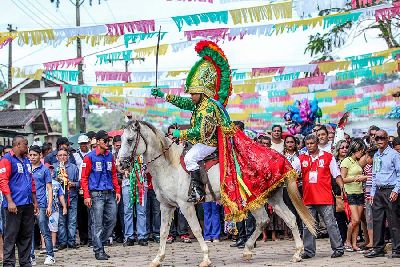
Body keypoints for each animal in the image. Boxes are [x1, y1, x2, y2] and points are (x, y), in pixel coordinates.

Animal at [117, 121, 318, 267]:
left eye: (130, 140)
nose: (120, 165)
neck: (169, 165)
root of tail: (282, 159)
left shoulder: (185, 205)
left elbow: (197, 230)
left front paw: (206, 258)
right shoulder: (166, 206)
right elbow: (163, 231)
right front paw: (157, 259)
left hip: (254, 199)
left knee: (264, 220)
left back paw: (251, 249)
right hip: (272, 197)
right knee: (289, 219)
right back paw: (294, 253)